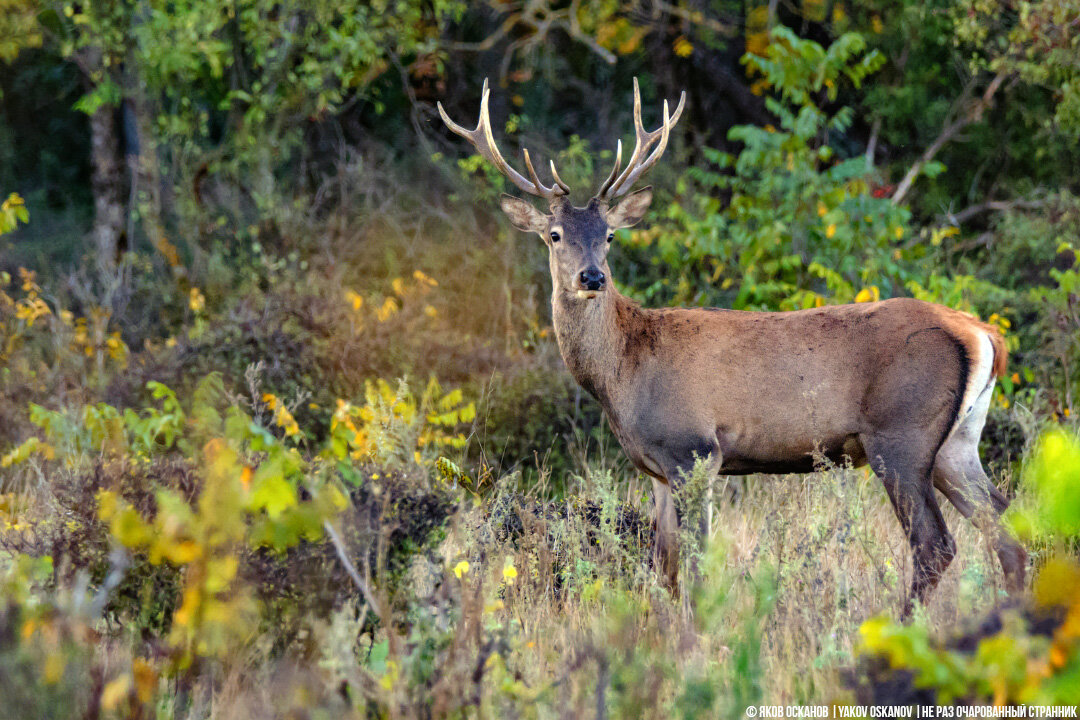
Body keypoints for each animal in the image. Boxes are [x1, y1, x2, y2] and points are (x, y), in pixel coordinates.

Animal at [438, 78, 1028, 613]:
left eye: (609, 235)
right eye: (555, 235)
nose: (592, 277)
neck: (622, 372)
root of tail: (983, 334)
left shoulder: (695, 448)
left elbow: (697, 565)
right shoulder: (656, 469)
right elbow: (665, 566)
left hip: (900, 435)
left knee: (935, 544)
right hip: (956, 444)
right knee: (1007, 529)